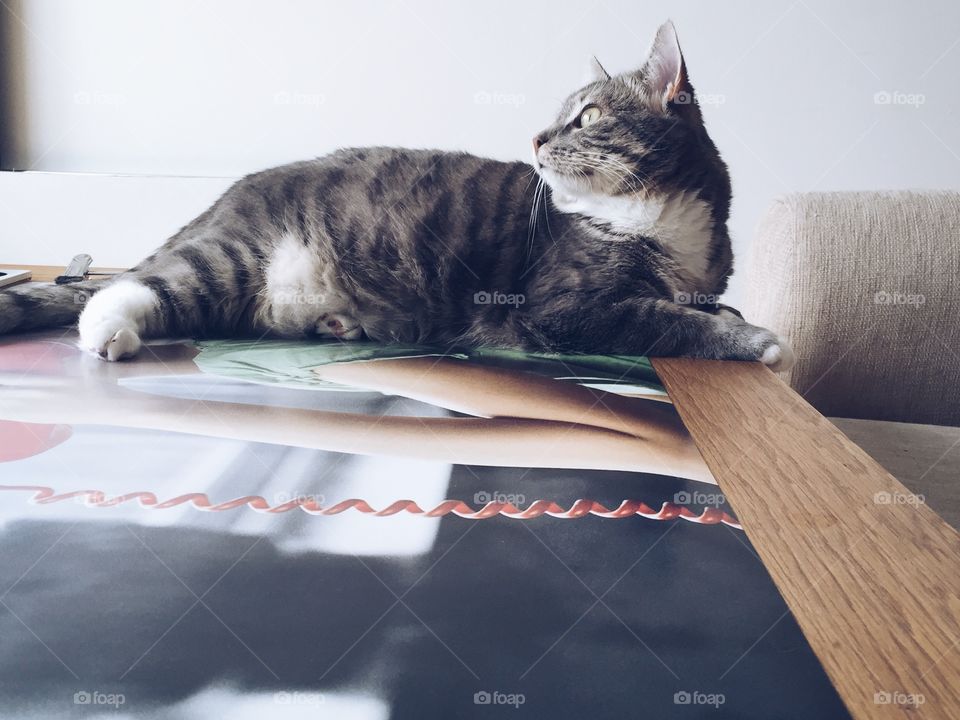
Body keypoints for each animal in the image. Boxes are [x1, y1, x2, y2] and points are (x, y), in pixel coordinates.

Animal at [0, 21, 796, 372]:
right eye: (565, 112)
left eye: (589, 114)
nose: (536, 138)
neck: (654, 218)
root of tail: (211, 209)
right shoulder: (564, 308)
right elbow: (663, 318)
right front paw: (757, 340)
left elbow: (695, 303)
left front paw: (729, 311)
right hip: (230, 258)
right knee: (131, 286)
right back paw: (109, 330)